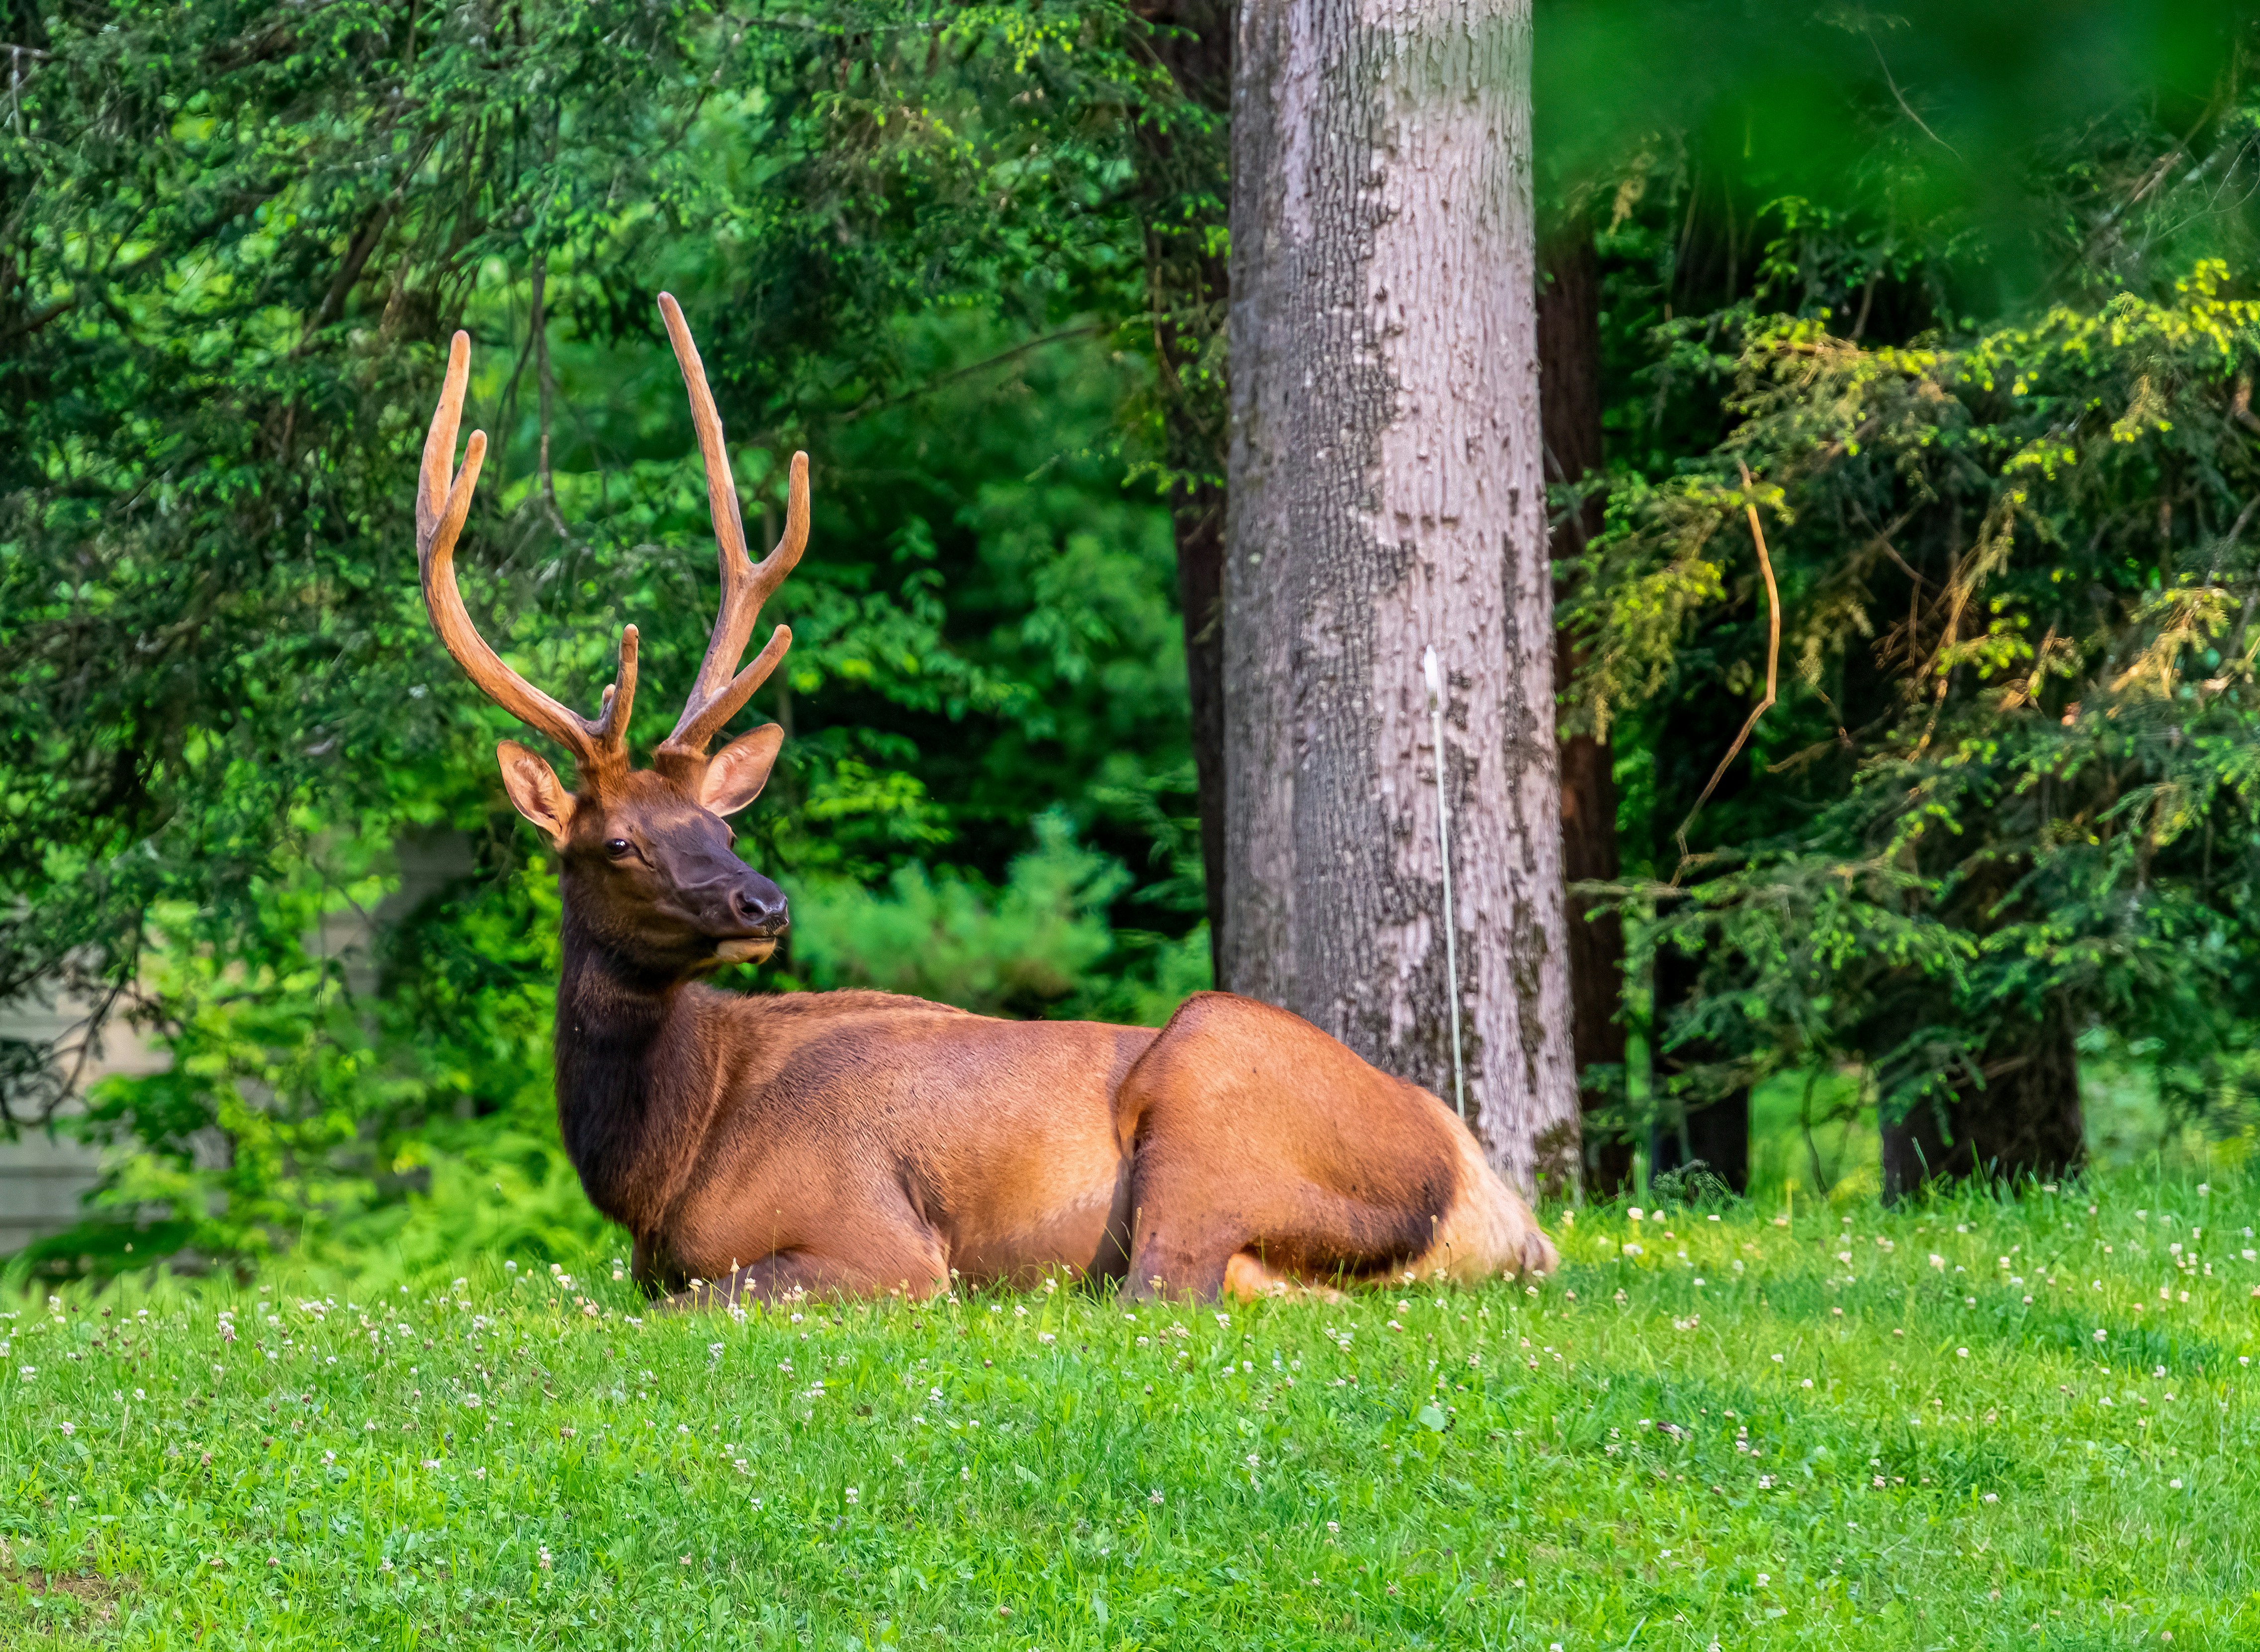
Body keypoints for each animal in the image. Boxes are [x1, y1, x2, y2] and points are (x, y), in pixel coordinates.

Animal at [413, 294, 1558, 1306]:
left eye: (715, 822)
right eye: (620, 842)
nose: (762, 904)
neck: (660, 1165)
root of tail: (1501, 1208)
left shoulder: (873, 1239)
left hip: (1208, 1082)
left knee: (1162, 1286)